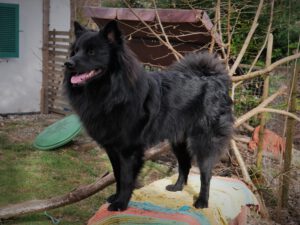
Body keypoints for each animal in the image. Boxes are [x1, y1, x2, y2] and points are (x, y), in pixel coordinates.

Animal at [63, 20, 234, 211]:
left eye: (91, 52)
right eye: (75, 51)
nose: (68, 63)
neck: (112, 92)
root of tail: (214, 78)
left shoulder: (129, 150)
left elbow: (126, 178)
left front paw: (121, 203)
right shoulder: (113, 148)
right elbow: (117, 175)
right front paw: (116, 197)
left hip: (204, 140)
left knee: (206, 173)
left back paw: (202, 201)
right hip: (178, 141)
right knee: (185, 164)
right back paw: (177, 187)